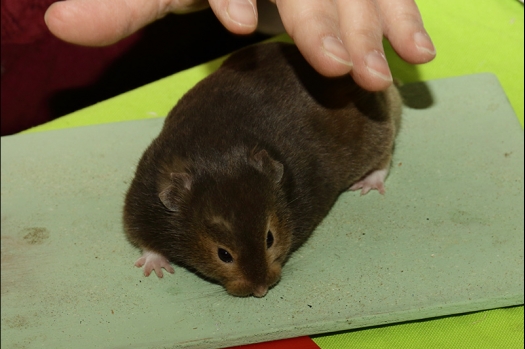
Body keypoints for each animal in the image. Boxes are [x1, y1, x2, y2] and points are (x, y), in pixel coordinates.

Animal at [124, 40, 402, 296]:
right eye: (223, 255)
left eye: (270, 239)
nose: (261, 291)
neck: (216, 152)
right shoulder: (142, 201)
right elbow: (145, 241)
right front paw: (155, 269)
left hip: (373, 132)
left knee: (384, 156)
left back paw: (366, 186)